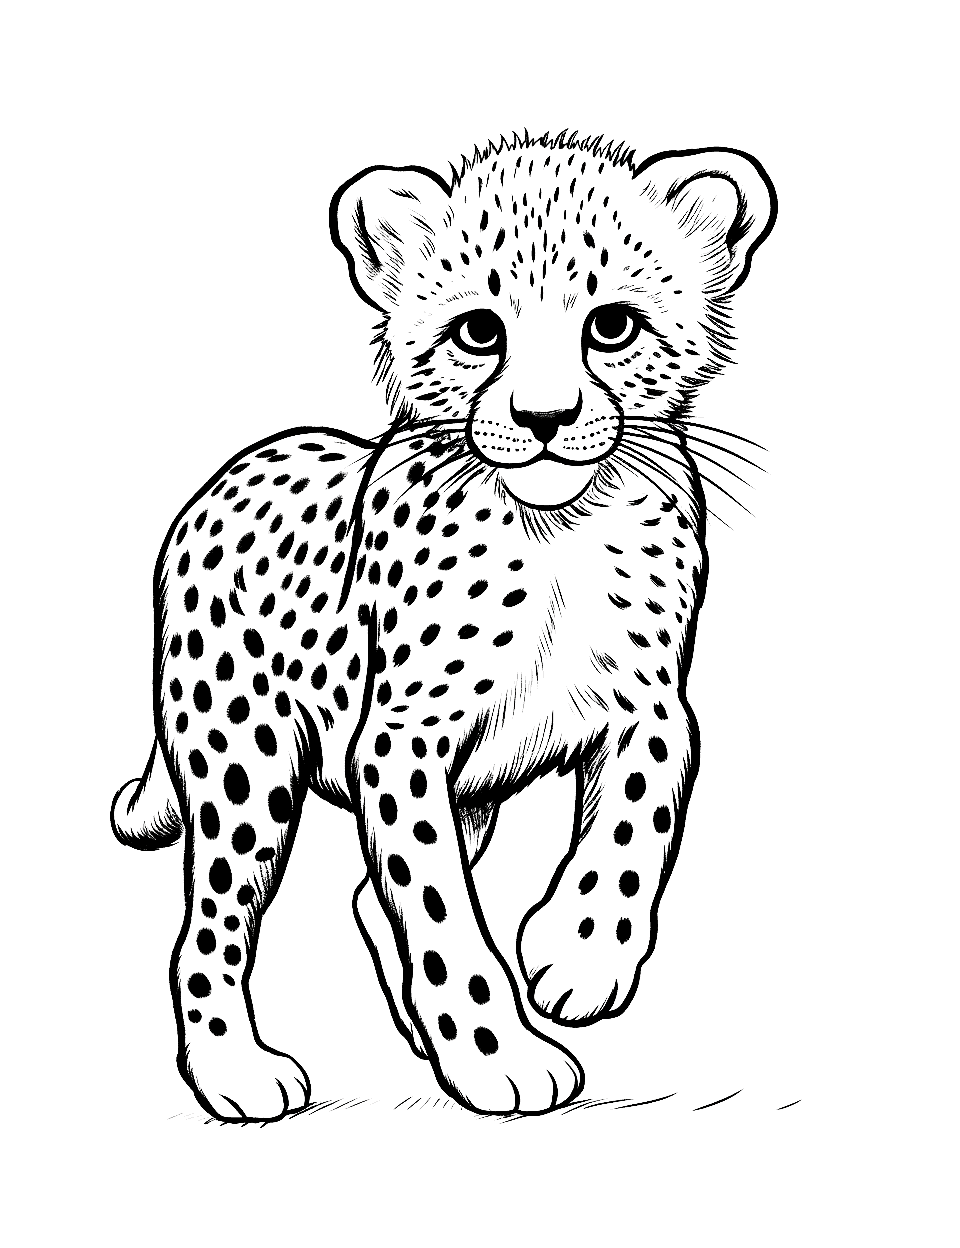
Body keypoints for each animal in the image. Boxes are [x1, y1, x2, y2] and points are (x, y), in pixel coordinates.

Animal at [111, 131, 776, 1120]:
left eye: (612, 326)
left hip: (466, 796)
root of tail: (227, 477)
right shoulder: (400, 743)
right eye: (479, 332)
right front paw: (502, 1053)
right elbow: (439, 916)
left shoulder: (650, 706)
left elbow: (637, 818)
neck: (558, 532)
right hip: (243, 762)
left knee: (358, 898)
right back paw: (236, 1068)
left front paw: (577, 951)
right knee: (212, 926)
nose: (546, 418)